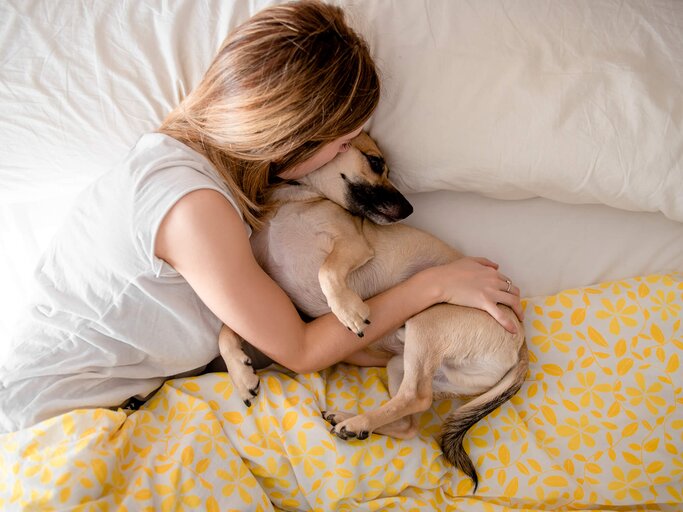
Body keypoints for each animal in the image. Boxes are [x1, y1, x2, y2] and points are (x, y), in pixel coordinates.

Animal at [219, 133, 528, 492]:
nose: (409, 209)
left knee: (416, 397)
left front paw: (347, 310)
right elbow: (226, 329)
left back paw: (357, 421)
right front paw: (241, 375)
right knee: (409, 421)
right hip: (403, 364)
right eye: (376, 162)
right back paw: (352, 421)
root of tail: (522, 343)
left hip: (426, 321)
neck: (293, 199)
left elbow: (327, 271)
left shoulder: (352, 246)